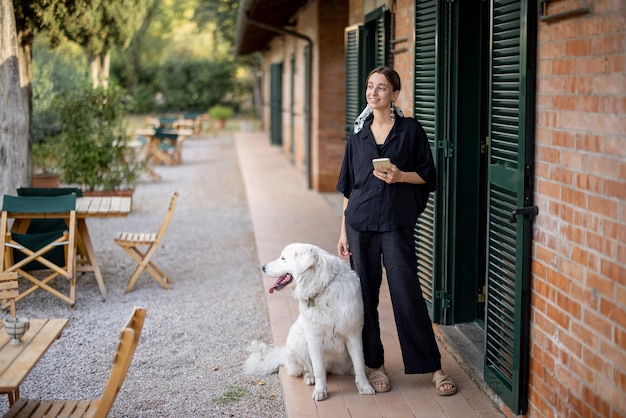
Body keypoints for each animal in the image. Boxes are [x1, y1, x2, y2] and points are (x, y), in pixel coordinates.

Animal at [243, 243, 370, 400]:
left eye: (283, 258)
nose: (263, 267)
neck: (322, 288)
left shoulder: (353, 334)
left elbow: (359, 364)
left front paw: (365, 386)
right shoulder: (314, 338)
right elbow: (319, 370)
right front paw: (320, 391)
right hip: (299, 341)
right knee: (307, 369)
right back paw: (310, 377)